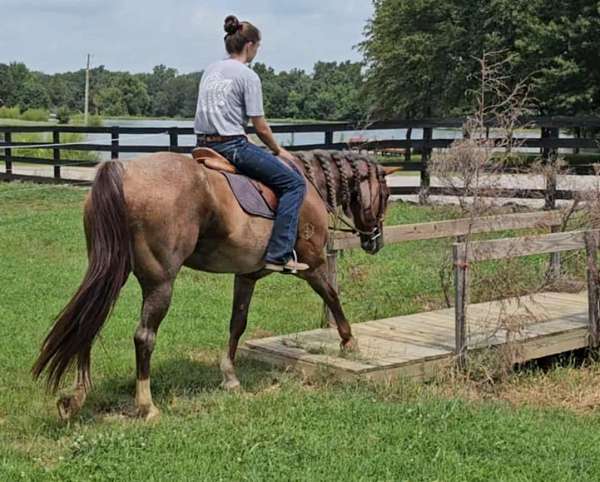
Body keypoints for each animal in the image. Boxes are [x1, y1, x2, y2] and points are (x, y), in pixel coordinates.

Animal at [30, 149, 396, 420]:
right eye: (388, 194)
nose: (374, 241)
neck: (308, 183)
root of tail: (123, 170)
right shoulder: (313, 264)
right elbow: (332, 296)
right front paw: (349, 342)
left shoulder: (246, 275)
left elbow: (237, 323)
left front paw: (230, 376)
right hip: (160, 282)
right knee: (143, 337)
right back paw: (147, 405)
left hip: (110, 272)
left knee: (87, 324)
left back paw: (76, 397)